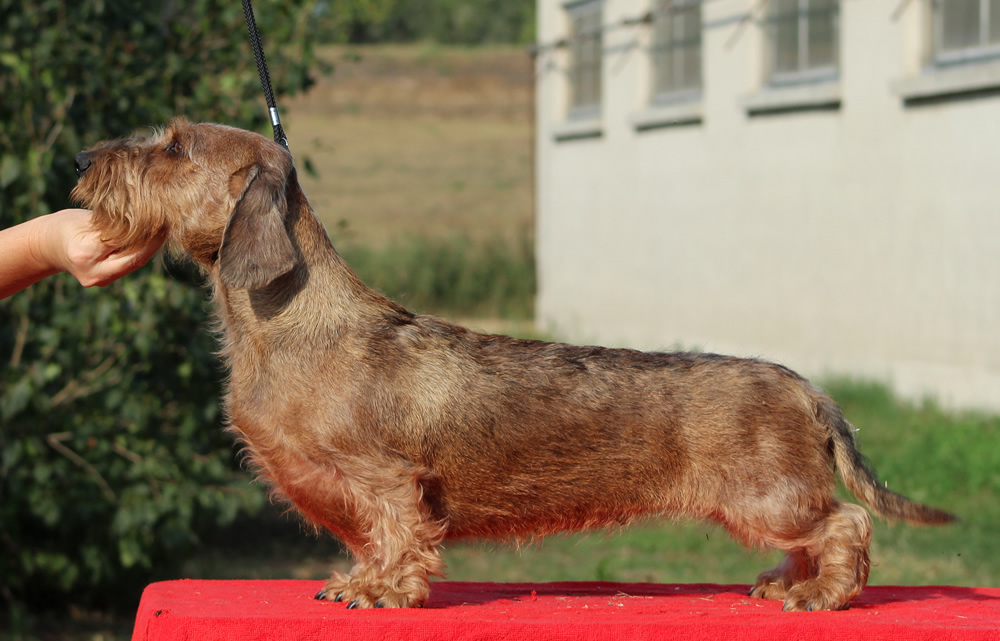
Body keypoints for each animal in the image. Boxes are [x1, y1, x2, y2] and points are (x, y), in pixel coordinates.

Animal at [72, 117, 952, 612]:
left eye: (174, 147)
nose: (81, 158)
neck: (292, 322)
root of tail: (807, 388)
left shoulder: (385, 479)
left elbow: (396, 531)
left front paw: (384, 591)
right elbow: (368, 537)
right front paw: (356, 579)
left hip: (768, 495)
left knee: (846, 523)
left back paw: (823, 594)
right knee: (820, 531)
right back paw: (789, 582)